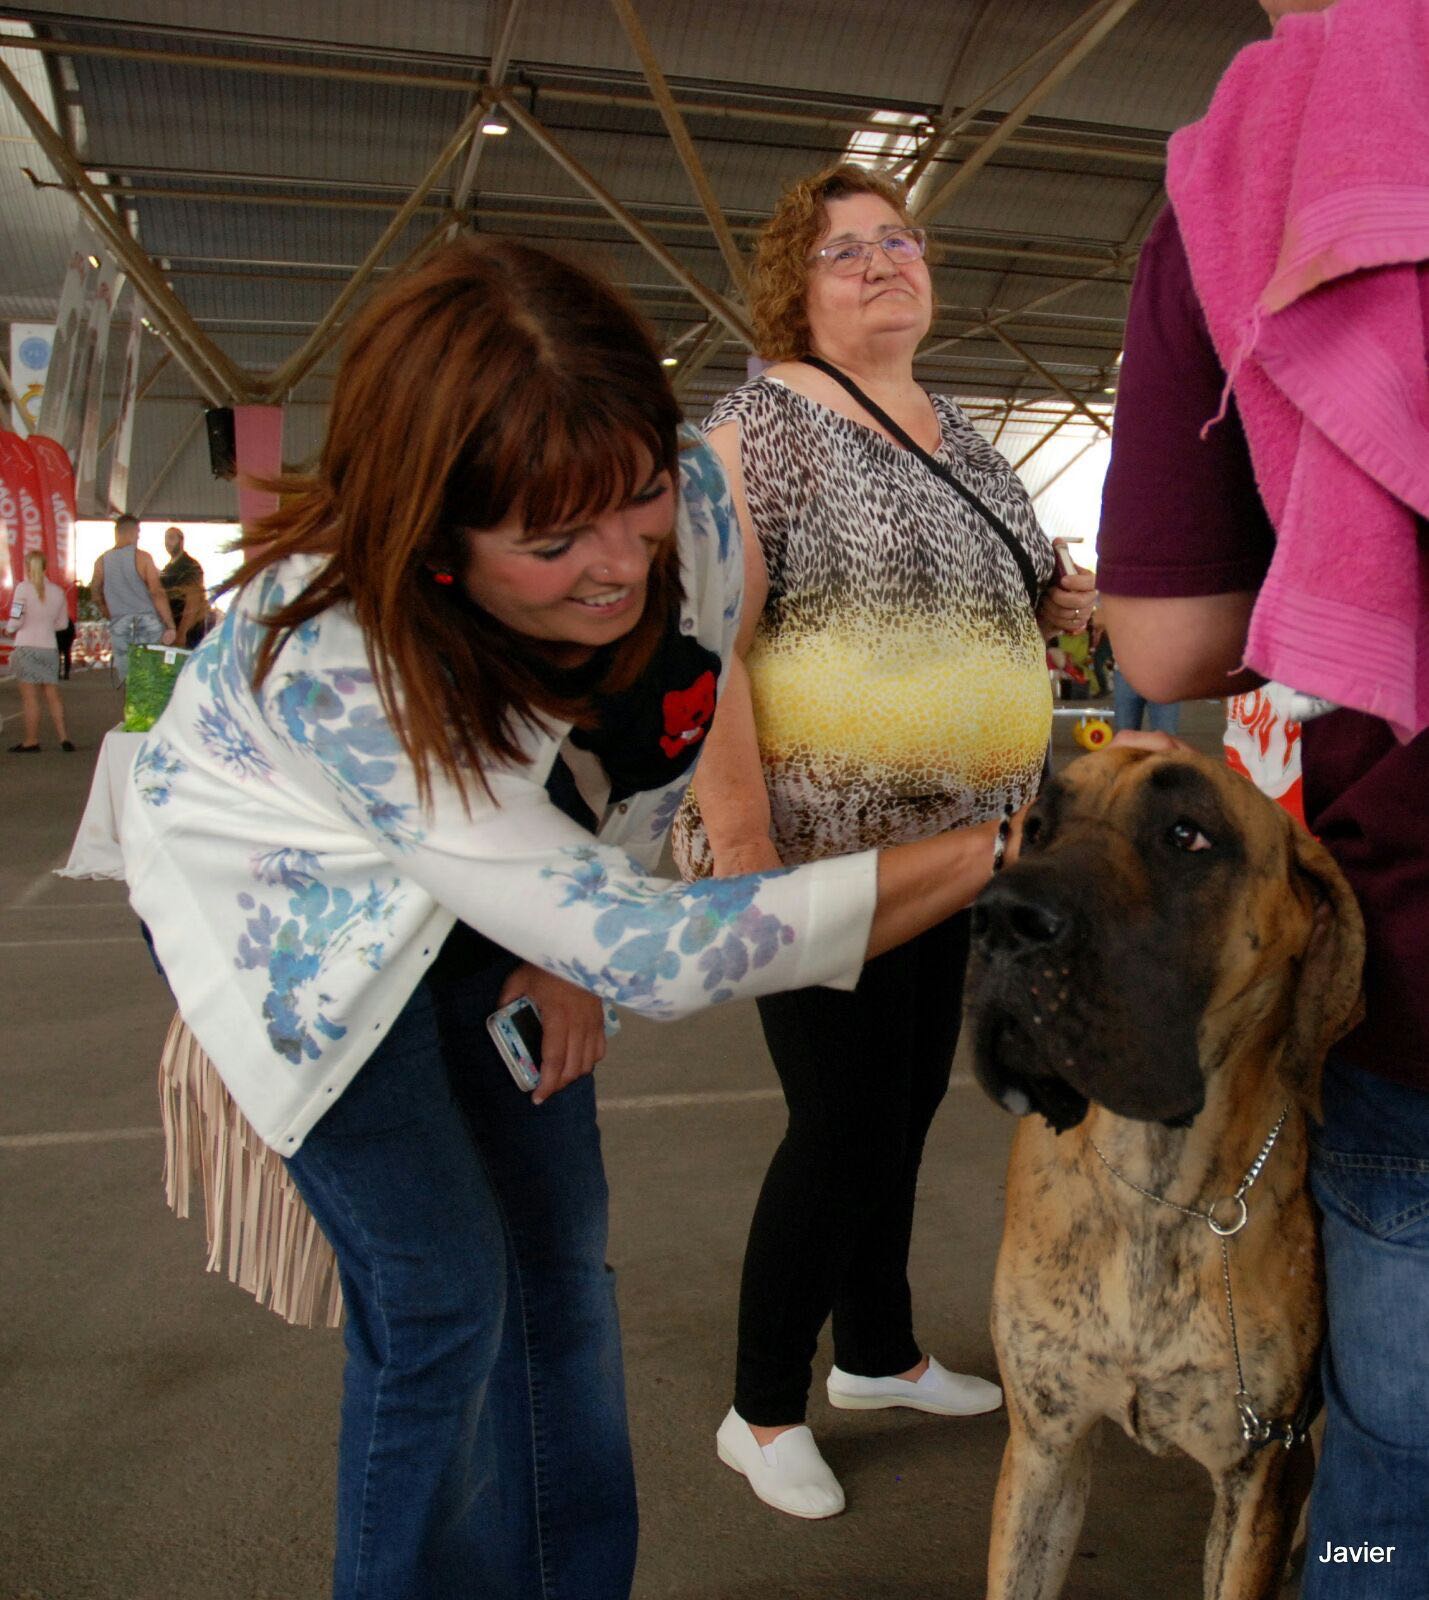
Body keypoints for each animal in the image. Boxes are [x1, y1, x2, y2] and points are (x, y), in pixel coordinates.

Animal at [972, 748, 1363, 1600]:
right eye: (1035, 829)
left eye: (1187, 836)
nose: (1000, 918)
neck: (1159, 1192)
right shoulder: (1044, 1449)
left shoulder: (1254, 1474)